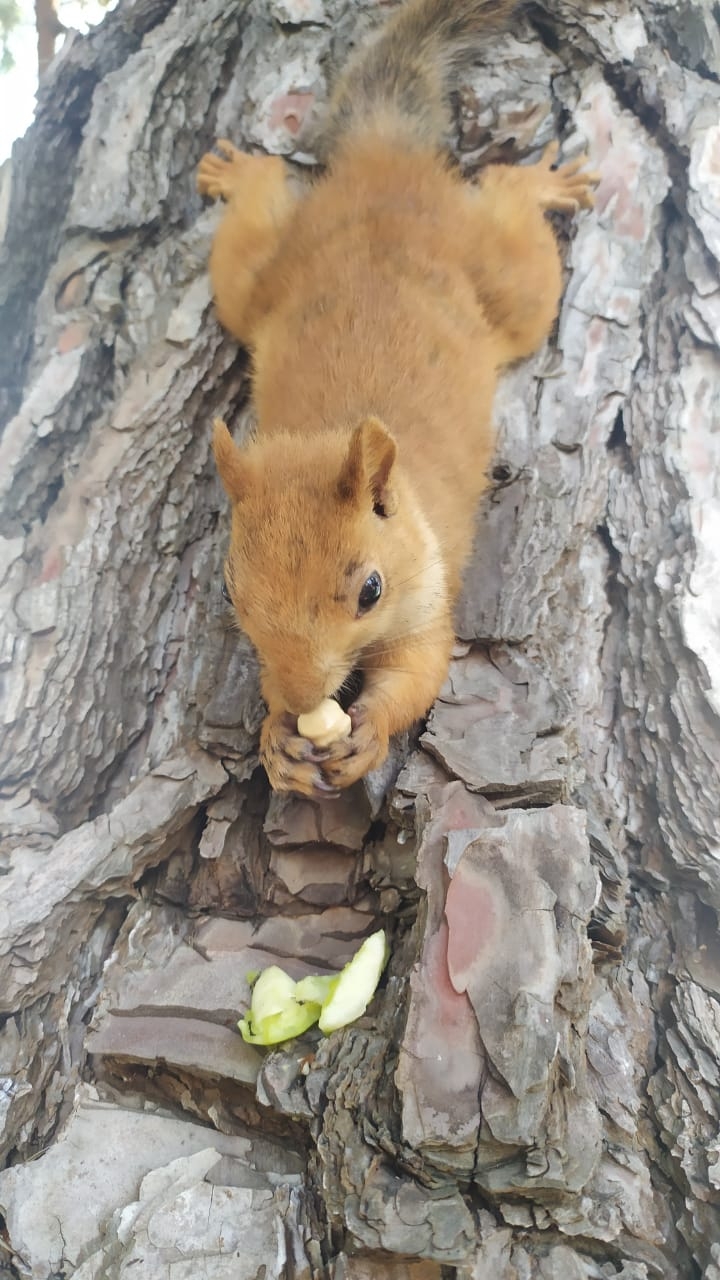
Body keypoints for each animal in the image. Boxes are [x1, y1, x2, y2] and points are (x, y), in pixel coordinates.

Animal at [197, 0, 597, 799]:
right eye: (230, 592)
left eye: (370, 591)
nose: (302, 695)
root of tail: (384, 164)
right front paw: (276, 737)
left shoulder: (426, 599)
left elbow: (418, 670)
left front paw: (370, 731)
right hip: (257, 283)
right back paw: (243, 170)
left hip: (505, 284)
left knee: (516, 235)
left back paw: (537, 186)